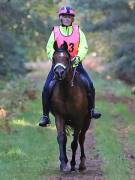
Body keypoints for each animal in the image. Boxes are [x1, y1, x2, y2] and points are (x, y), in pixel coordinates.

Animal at [50, 41, 91, 172]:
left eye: (67, 58)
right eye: (54, 58)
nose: (59, 73)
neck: (67, 91)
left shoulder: (78, 119)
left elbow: (74, 143)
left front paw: (73, 164)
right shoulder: (59, 117)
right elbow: (61, 139)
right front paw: (64, 164)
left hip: (87, 120)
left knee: (81, 138)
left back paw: (82, 163)